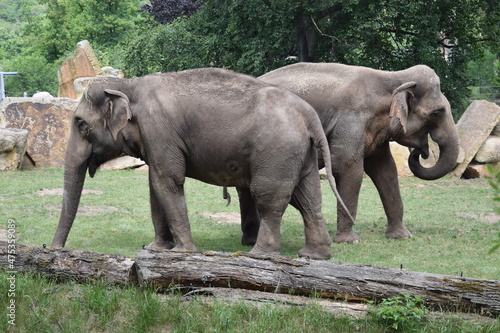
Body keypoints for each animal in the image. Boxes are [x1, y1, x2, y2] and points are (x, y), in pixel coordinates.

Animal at [50, 67, 354, 260]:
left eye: (80, 124)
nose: (54, 250)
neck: (129, 85)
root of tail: (309, 115)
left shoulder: (159, 130)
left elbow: (168, 180)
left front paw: (183, 252)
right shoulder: (154, 139)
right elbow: (155, 186)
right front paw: (156, 249)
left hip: (276, 152)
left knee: (270, 198)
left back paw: (258, 255)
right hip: (300, 153)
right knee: (308, 197)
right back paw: (313, 255)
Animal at [236, 63, 458, 244]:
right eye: (437, 112)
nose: (421, 152)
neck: (391, 77)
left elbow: (386, 170)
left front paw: (401, 236)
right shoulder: (351, 119)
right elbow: (348, 167)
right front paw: (349, 240)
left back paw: (250, 239)